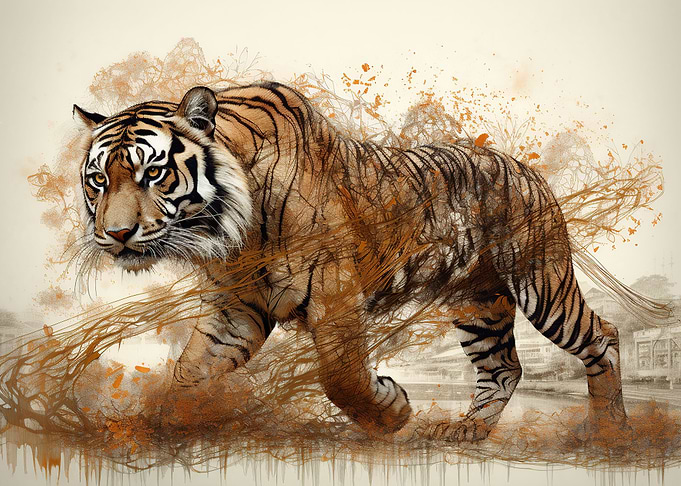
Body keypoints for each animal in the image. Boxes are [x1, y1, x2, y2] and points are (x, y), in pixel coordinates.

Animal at [72, 81, 630, 441]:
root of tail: (527, 171)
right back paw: (467, 431)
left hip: (541, 285)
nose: (116, 235)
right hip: (479, 303)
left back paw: (610, 431)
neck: (234, 229)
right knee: (503, 368)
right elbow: (188, 373)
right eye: (99, 179)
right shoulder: (236, 308)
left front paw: (393, 412)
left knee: (603, 335)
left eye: (152, 173)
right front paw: (168, 422)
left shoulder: (332, 289)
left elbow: (340, 375)